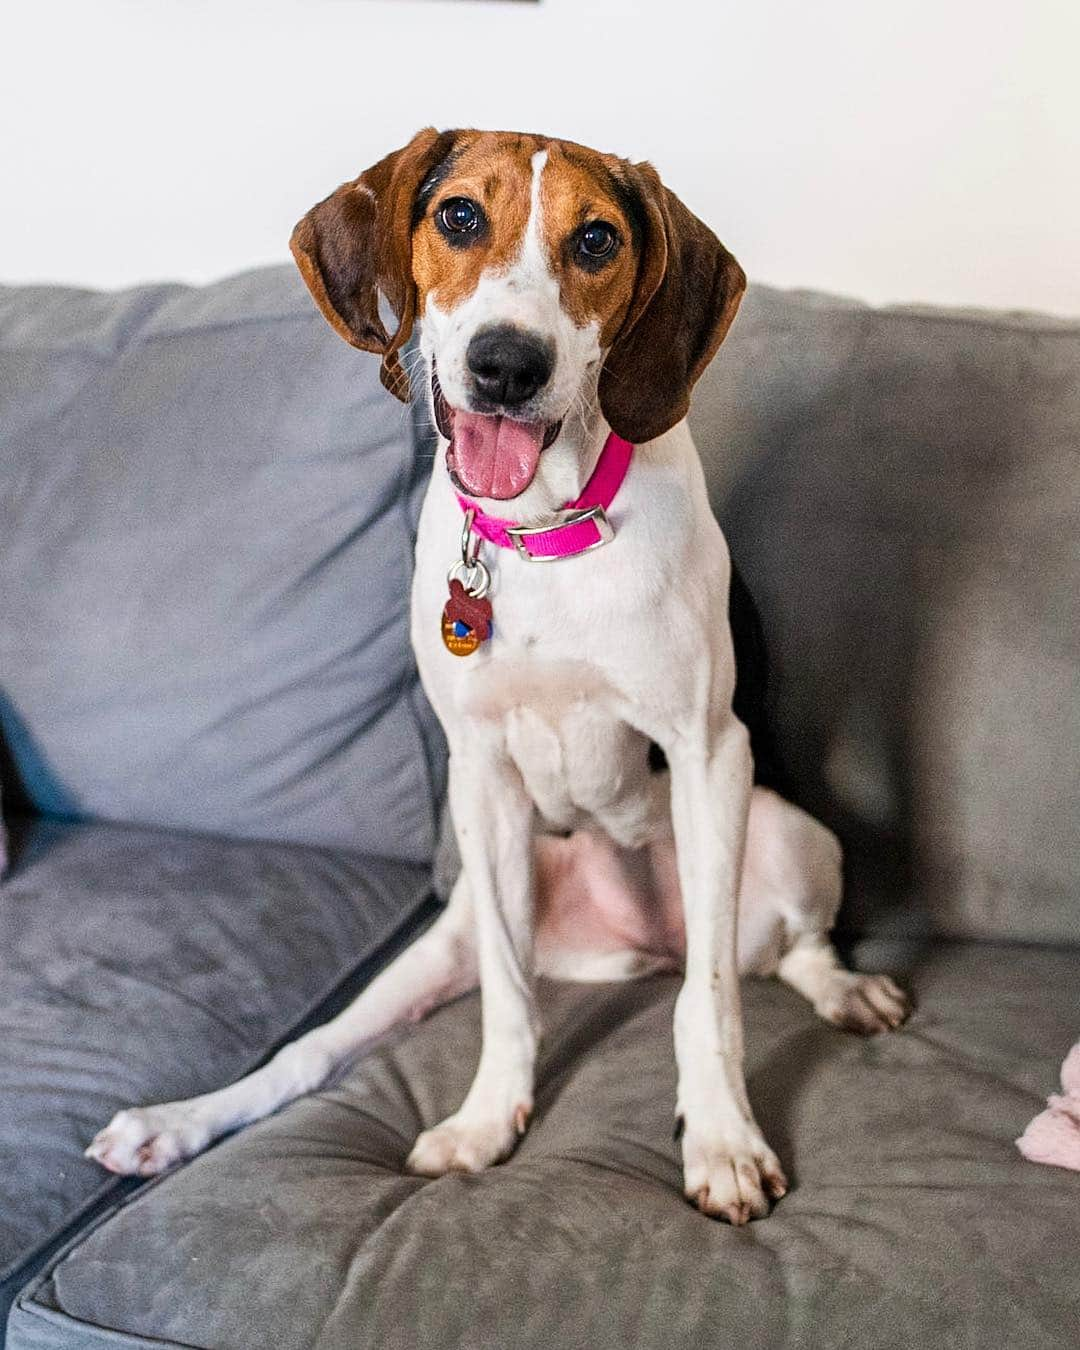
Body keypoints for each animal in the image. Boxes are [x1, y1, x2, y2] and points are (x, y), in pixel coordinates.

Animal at [88, 128, 907, 1225]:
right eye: (460, 217)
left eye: (597, 239)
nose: (507, 364)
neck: (539, 534)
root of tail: (639, 941)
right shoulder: (478, 772)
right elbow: (512, 1003)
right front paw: (487, 1119)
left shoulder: (707, 750)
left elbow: (710, 1007)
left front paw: (724, 1140)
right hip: (458, 924)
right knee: (313, 1051)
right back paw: (174, 1122)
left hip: (789, 834)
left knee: (778, 954)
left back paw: (844, 991)